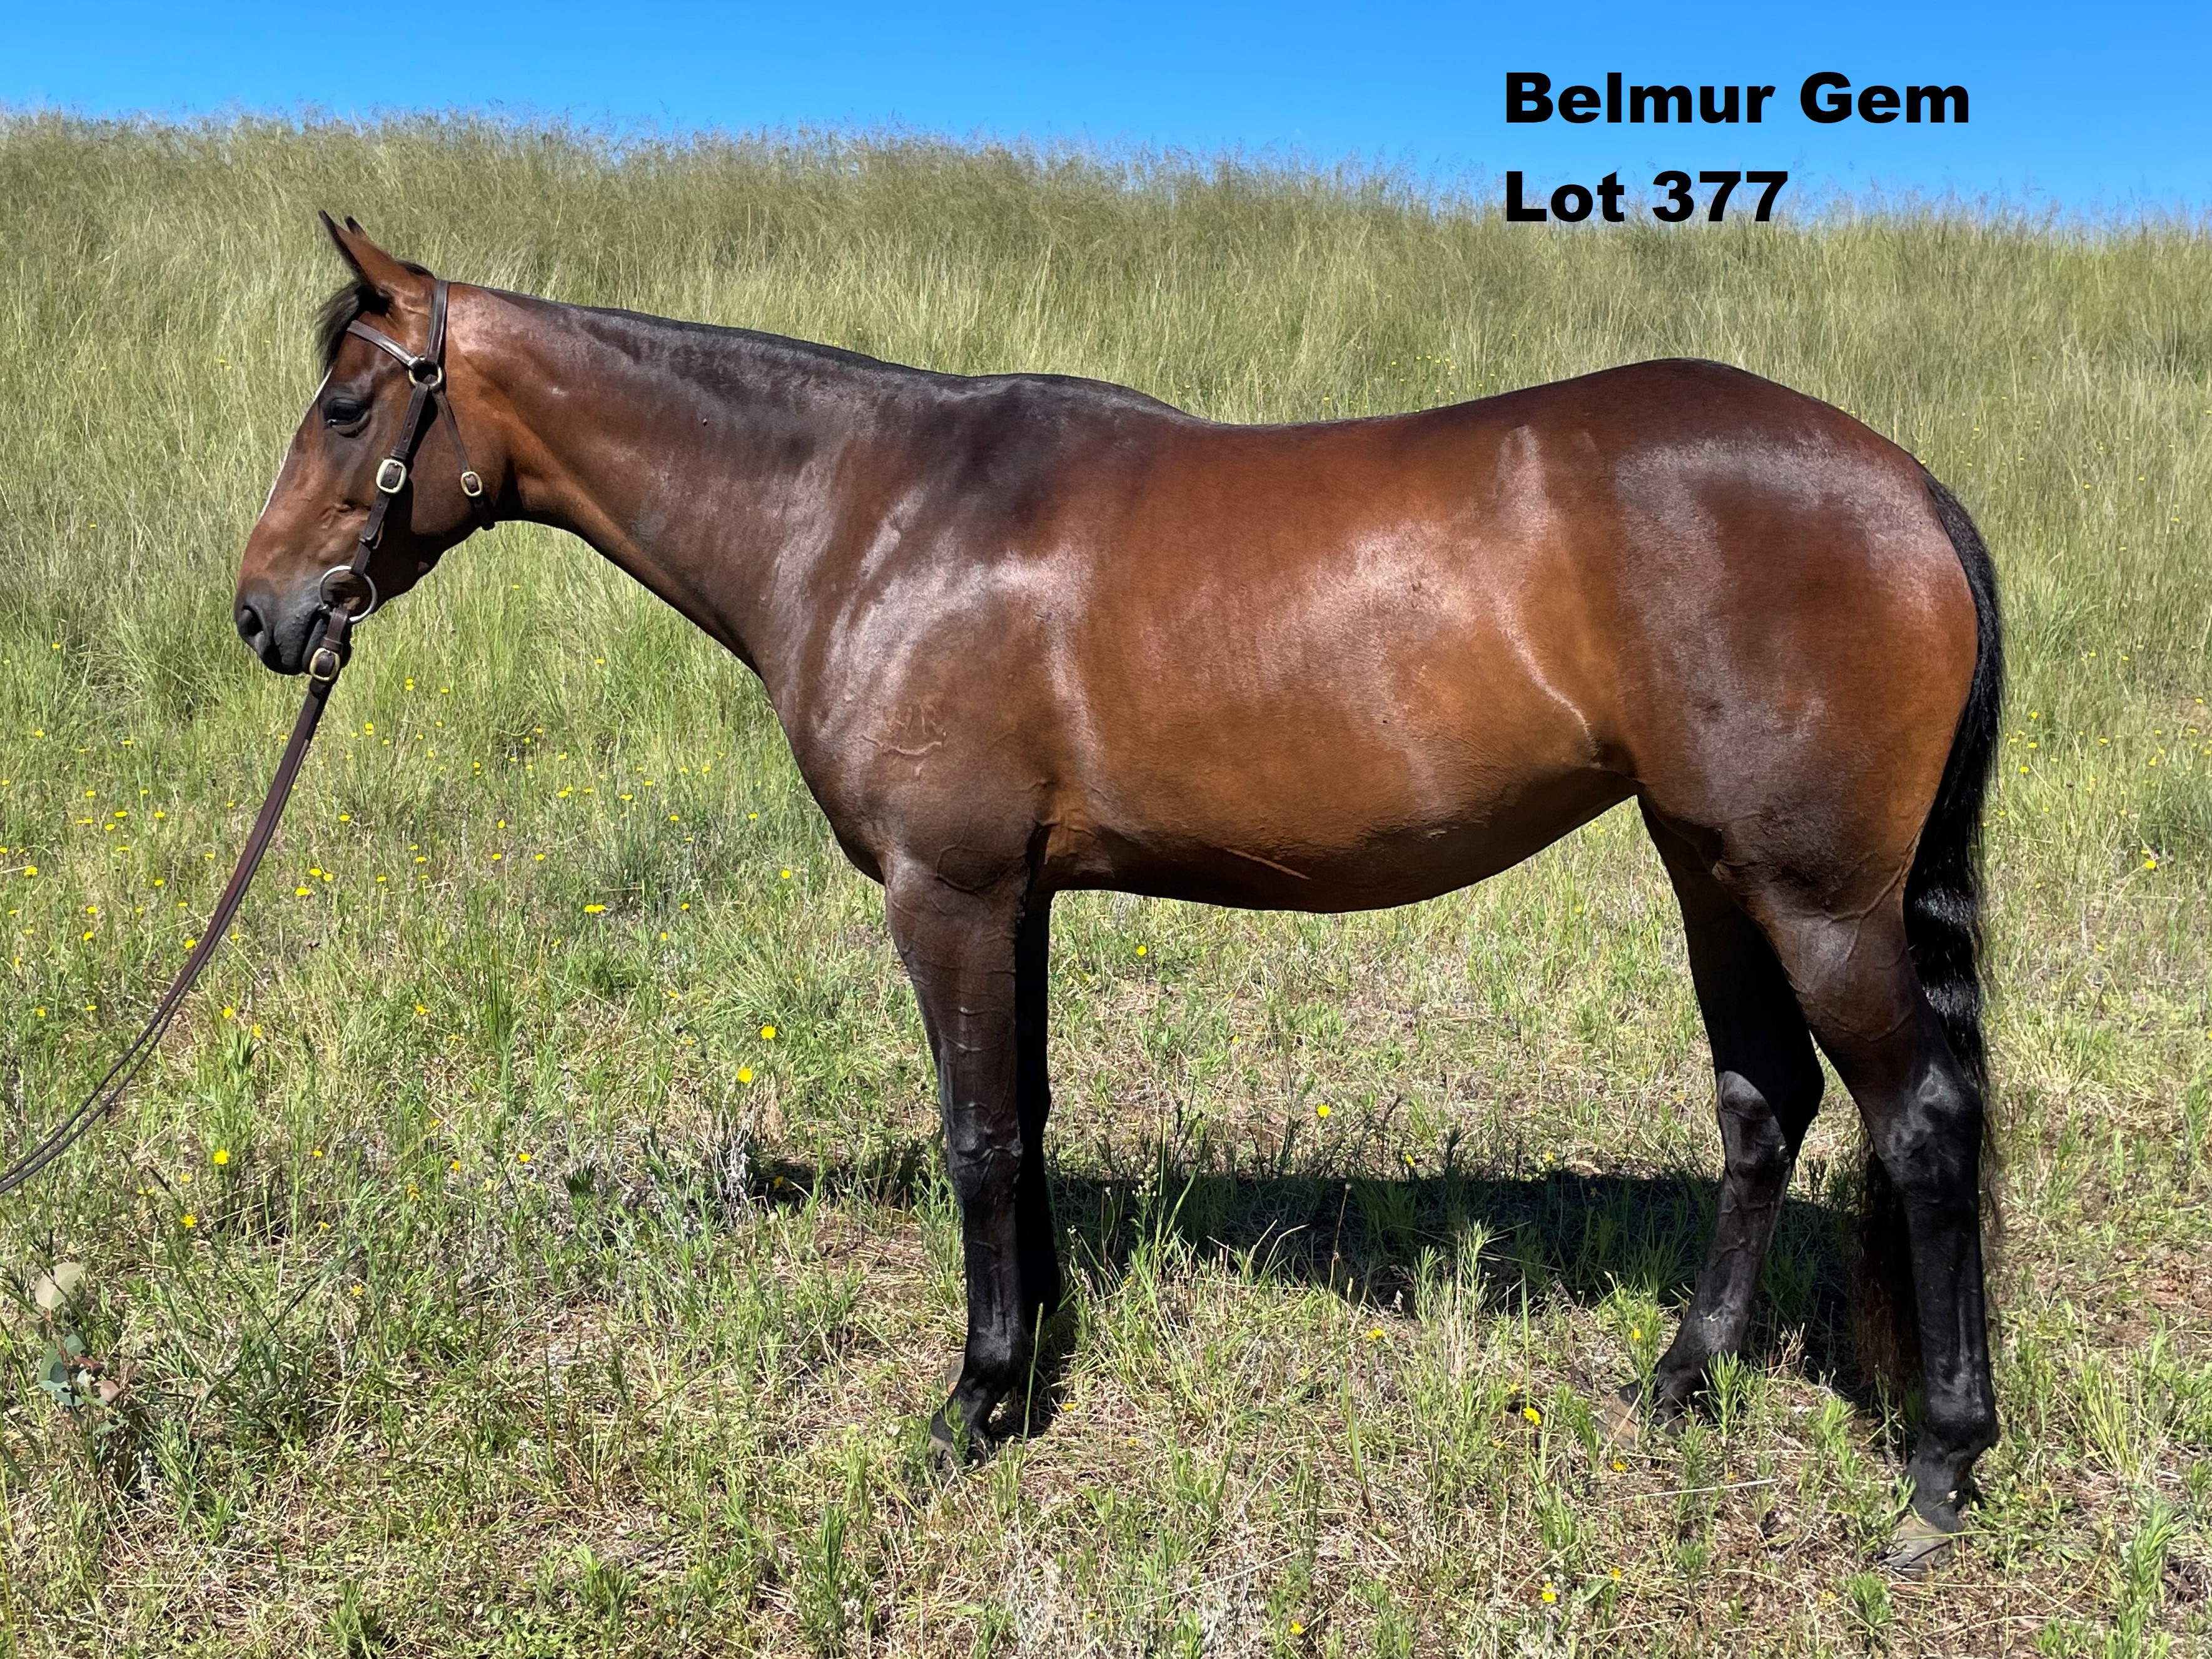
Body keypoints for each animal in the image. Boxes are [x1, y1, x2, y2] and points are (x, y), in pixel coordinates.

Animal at [234, 217, 2003, 1573]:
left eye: (347, 405)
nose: (264, 614)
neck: (868, 511)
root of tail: (1907, 484)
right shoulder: (1013, 897)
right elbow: (1023, 1118)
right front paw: (1033, 1359)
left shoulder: (945, 893)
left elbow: (975, 1134)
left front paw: (971, 1402)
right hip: (1712, 869)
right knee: (1764, 1102)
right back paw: (1682, 1381)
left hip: (1813, 897)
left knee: (1920, 1124)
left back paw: (1938, 1468)